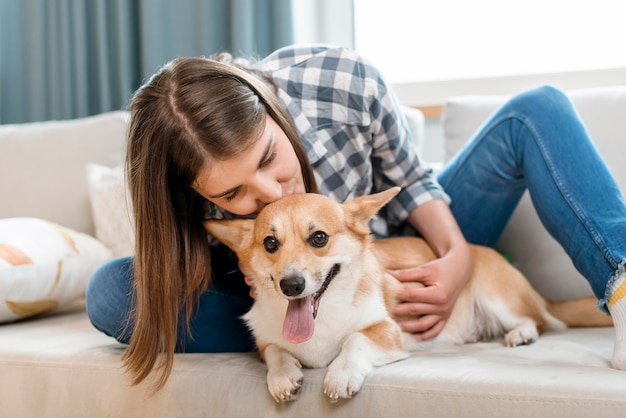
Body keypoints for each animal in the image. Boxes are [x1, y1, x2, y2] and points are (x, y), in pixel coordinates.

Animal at [204, 187, 608, 402]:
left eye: (319, 238)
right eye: (270, 243)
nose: (291, 286)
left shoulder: (387, 331)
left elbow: (353, 340)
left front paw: (340, 374)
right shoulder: (267, 341)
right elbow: (276, 351)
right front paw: (283, 376)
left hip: (497, 294)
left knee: (538, 319)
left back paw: (520, 333)